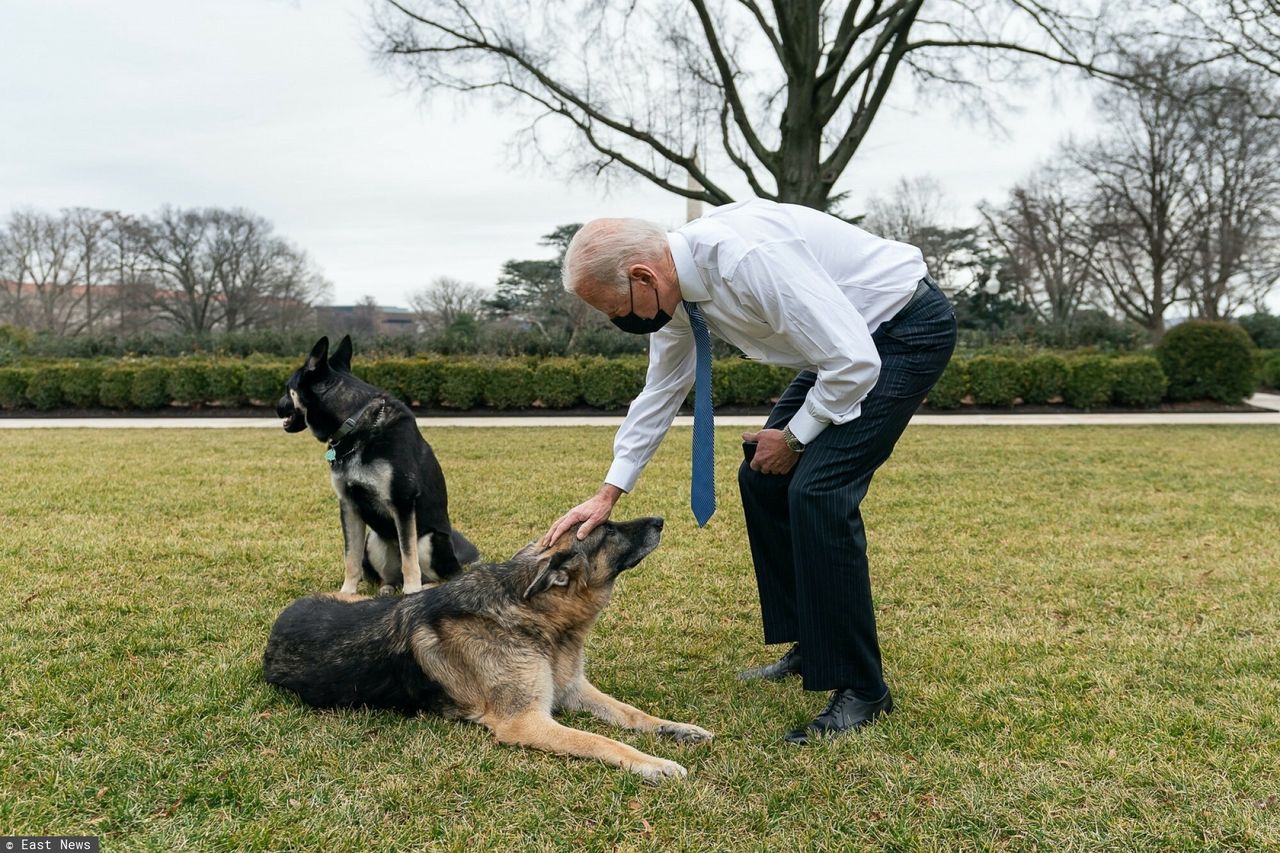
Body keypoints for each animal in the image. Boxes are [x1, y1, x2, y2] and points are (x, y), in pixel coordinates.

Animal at [277, 333, 478, 591]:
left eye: (287, 389)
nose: (276, 407)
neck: (355, 423)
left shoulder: (403, 503)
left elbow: (409, 558)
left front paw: (411, 592)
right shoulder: (349, 506)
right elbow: (351, 558)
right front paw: (347, 592)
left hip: (430, 540)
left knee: (439, 575)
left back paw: (423, 587)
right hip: (374, 539)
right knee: (390, 575)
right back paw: (388, 587)